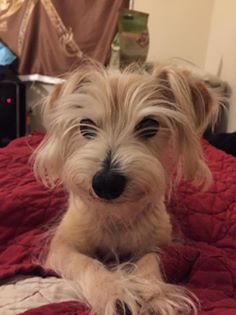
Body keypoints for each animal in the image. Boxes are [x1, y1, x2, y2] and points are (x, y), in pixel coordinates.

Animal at [32, 63, 219, 315]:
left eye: (149, 125)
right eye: (85, 126)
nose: (106, 183)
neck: (116, 217)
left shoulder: (158, 245)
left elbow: (150, 262)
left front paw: (153, 294)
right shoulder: (62, 246)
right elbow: (87, 263)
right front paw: (114, 292)